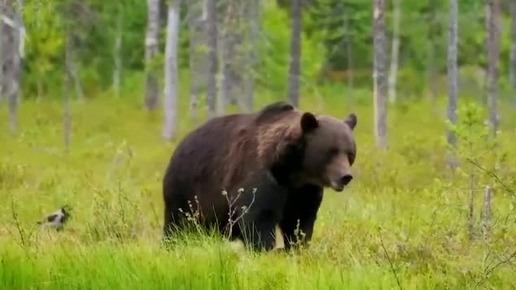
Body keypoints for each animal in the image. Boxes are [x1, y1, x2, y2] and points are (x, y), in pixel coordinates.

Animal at [163, 101, 356, 251]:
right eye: (332, 151)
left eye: (350, 153)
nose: (345, 176)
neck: (293, 170)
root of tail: (180, 144)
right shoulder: (260, 174)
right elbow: (259, 215)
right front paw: (265, 248)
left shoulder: (303, 190)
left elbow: (299, 219)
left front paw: (296, 246)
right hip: (186, 188)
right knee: (177, 223)